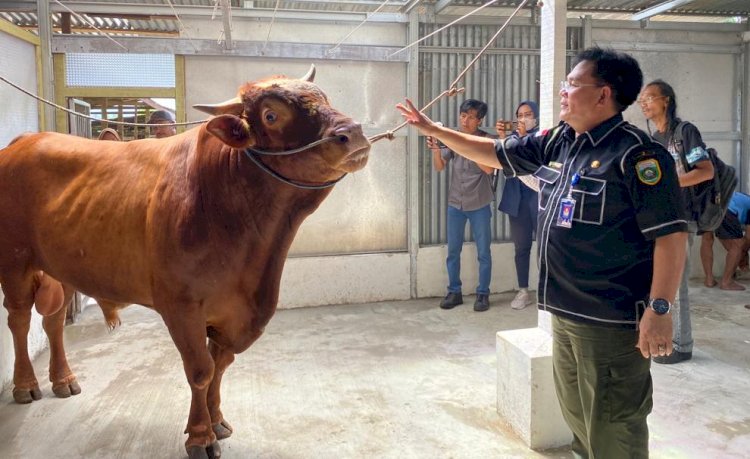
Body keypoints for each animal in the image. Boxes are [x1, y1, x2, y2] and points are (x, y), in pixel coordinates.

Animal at [1, 66, 372, 458]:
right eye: (271, 115)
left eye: (325, 96)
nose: (353, 133)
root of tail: (24, 141)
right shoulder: (180, 306)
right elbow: (200, 370)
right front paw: (200, 436)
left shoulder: (235, 312)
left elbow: (220, 366)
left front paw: (217, 420)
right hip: (14, 261)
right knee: (20, 320)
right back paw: (25, 385)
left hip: (64, 264)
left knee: (54, 320)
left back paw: (63, 379)